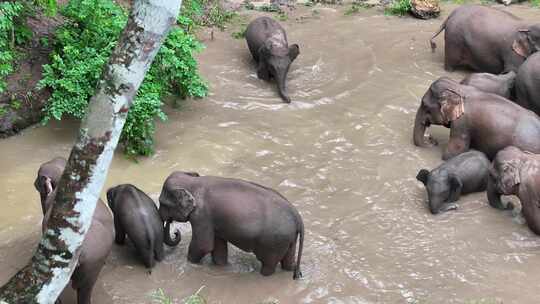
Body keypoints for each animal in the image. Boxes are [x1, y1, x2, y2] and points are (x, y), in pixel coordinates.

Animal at [158, 170, 306, 280]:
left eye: (162, 203)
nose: (176, 232)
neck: (192, 182)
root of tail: (298, 217)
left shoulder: (202, 216)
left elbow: (203, 245)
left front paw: (189, 264)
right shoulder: (212, 221)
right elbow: (218, 247)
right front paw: (221, 266)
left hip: (273, 243)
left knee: (268, 265)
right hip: (288, 239)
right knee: (288, 262)